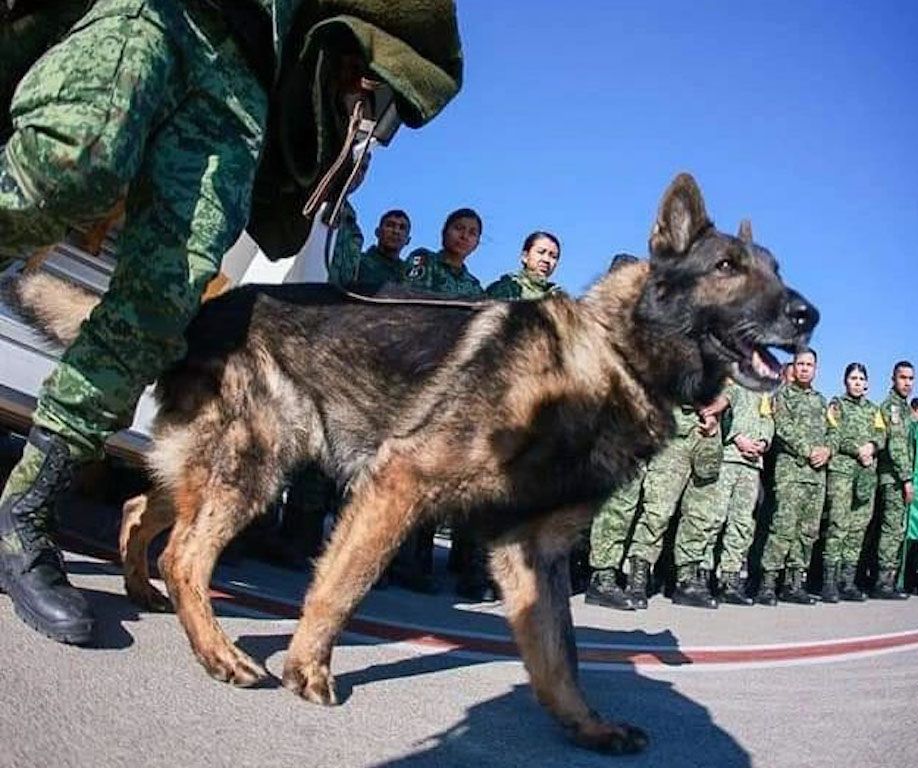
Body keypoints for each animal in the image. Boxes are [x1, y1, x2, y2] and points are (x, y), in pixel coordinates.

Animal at [9, 176, 820, 756]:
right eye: (727, 267)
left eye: (778, 271)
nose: (808, 314)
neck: (612, 355)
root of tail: (204, 310)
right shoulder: (400, 483)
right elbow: (342, 587)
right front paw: (309, 671)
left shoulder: (532, 552)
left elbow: (559, 653)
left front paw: (585, 725)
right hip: (260, 461)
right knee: (186, 552)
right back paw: (217, 652)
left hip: (228, 465)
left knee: (142, 508)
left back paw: (143, 590)